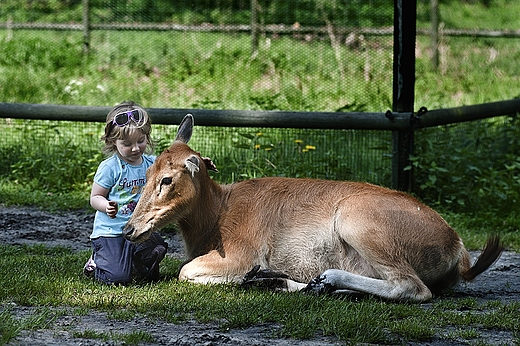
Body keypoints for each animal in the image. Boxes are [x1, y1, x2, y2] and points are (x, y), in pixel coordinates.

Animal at [123, 115, 504, 302]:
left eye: (167, 179)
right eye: (147, 173)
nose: (129, 229)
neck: (216, 221)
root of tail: (458, 249)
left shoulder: (242, 252)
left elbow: (185, 271)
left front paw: (248, 277)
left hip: (359, 221)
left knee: (412, 288)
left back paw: (317, 279)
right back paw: (294, 283)